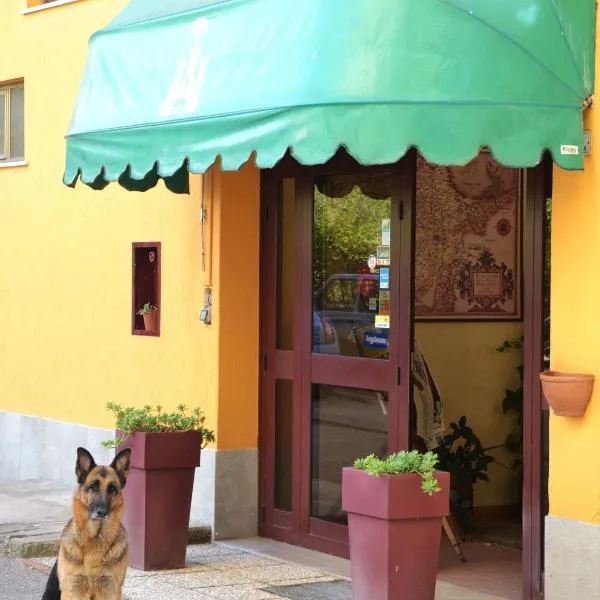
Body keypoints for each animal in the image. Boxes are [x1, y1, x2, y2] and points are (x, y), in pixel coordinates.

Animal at [42, 448, 131, 596]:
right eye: (93, 486)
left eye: (112, 489)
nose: (102, 512)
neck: (95, 538)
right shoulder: (72, 590)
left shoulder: (112, 590)